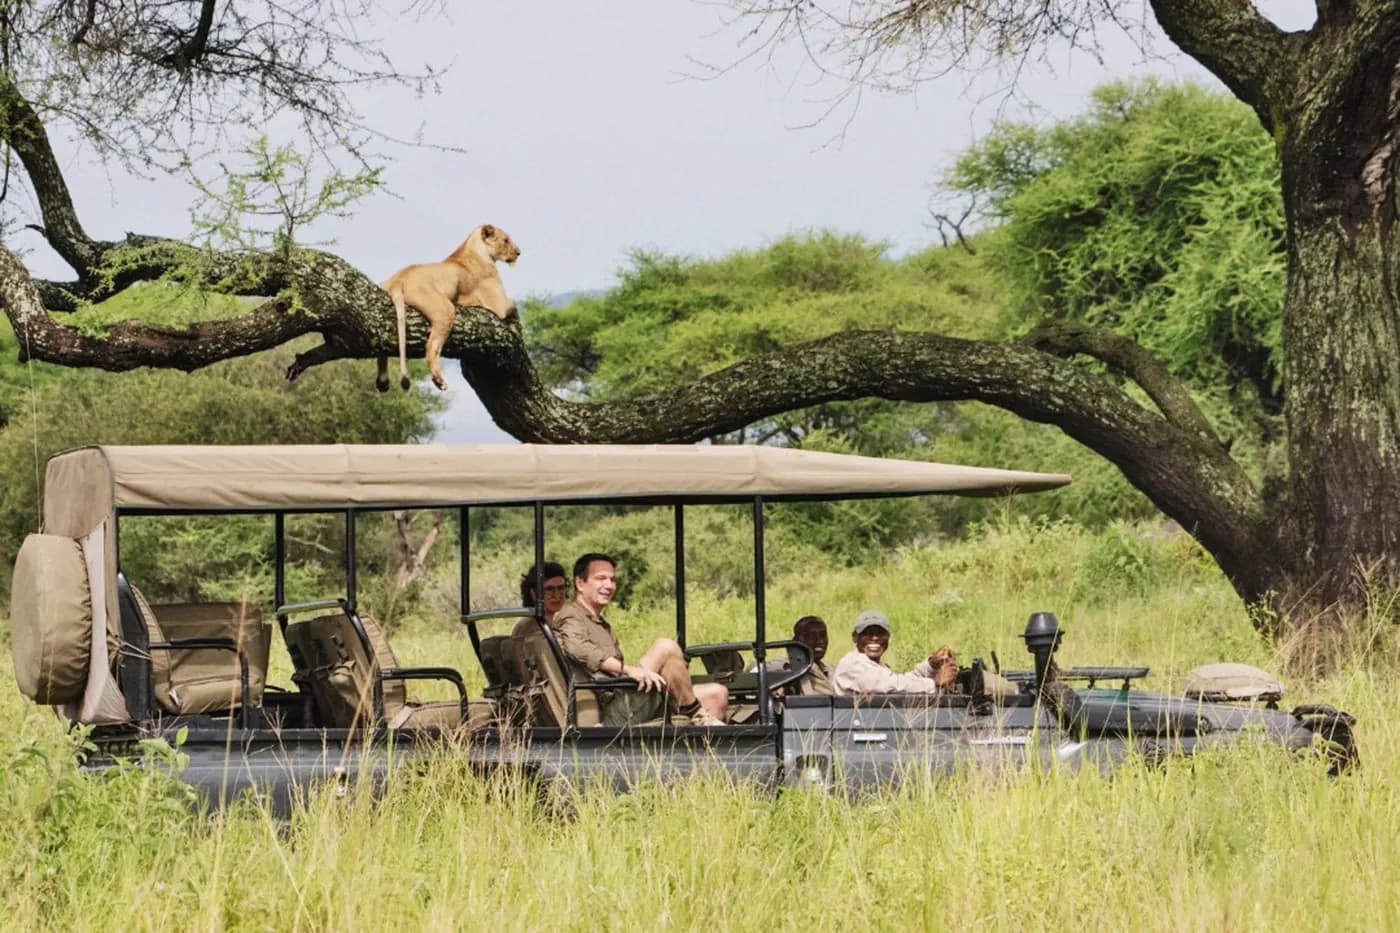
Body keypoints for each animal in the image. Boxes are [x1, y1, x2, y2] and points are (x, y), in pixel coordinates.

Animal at [376, 223, 522, 391]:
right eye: (506, 240)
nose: (519, 253)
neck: (473, 248)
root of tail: (397, 280)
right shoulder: (499, 305)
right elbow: (515, 306)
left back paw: (382, 381)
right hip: (445, 309)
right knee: (431, 347)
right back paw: (438, 380)